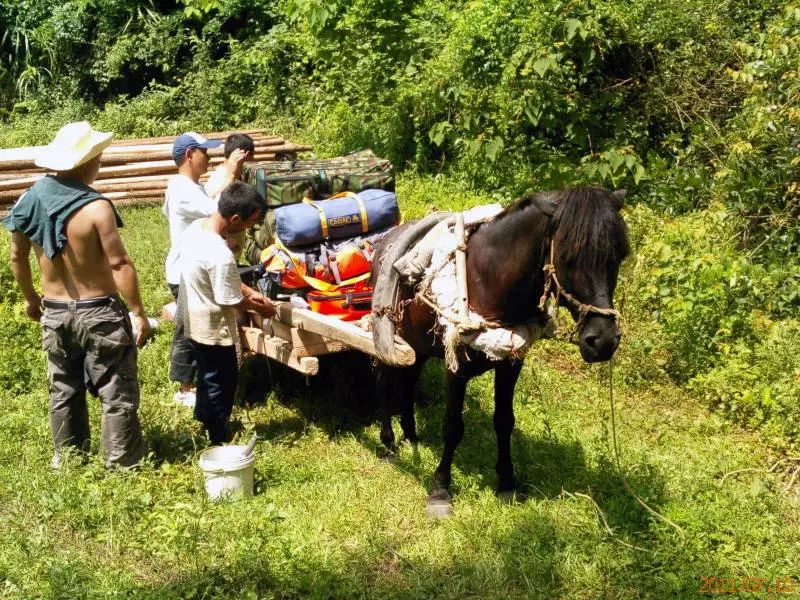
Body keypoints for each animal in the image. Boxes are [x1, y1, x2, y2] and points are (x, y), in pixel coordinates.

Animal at [372, 188, 628, 516]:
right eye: (568, 257)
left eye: (619, 256)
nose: (604, 340)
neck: (487, 282)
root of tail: (386, 240)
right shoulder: (456, 369)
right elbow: (452, 426)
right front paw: (440, 489)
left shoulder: (510, 363)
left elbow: (504, 421)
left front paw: (507, 482)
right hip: (387, 339)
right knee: (384, 385)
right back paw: (388, 443)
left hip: (416, 344)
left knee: (407, 382)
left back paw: (411, 435)